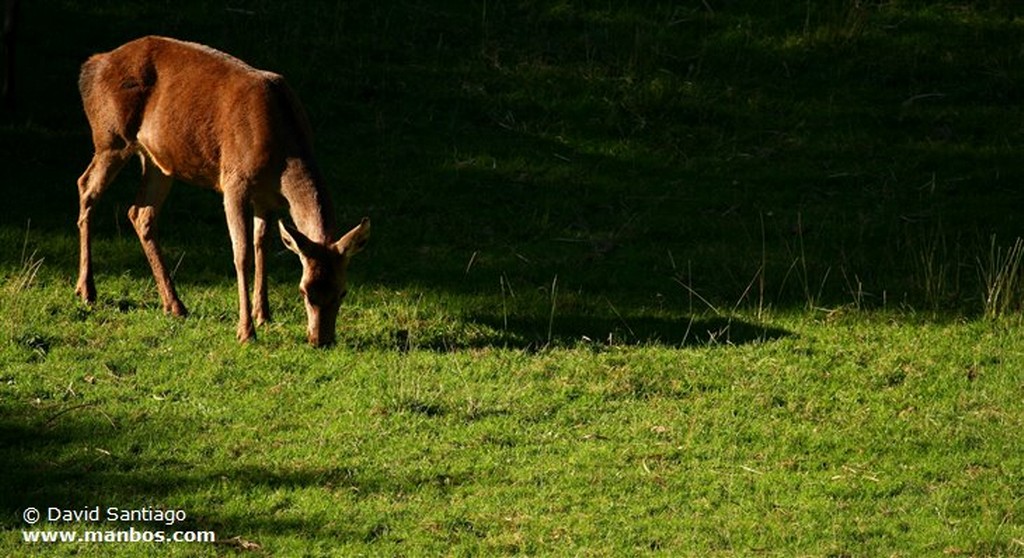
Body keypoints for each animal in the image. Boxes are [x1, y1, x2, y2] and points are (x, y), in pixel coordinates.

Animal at [76, 35, 372, 344]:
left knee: (140, 212)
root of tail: (92, 65)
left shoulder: (268, 198)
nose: (321, 340)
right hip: (111, 138)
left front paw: (263, 314)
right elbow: (241, 253)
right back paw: (86, 290)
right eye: (303, 291)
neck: (284, 151)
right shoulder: (234, 182)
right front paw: (246, 331)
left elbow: (262, 246)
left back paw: (174, 304)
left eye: (343, 291)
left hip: (157, 160)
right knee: (86, 187)